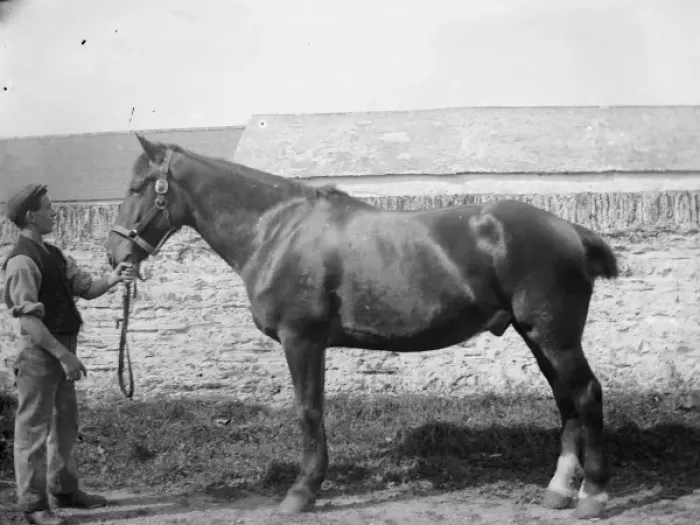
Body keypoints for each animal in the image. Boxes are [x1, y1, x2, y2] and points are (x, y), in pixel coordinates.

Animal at [106, 133, 619, 519]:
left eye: (137, 187)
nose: (115, 257)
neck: (277, 230)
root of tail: (570, 230)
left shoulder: (302, 341)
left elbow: (309, 412)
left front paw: (301, 493)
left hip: (554, 336)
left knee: (586, 395)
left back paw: (592, 495)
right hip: (537, 336)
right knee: (566, 403)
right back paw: (558, 491)